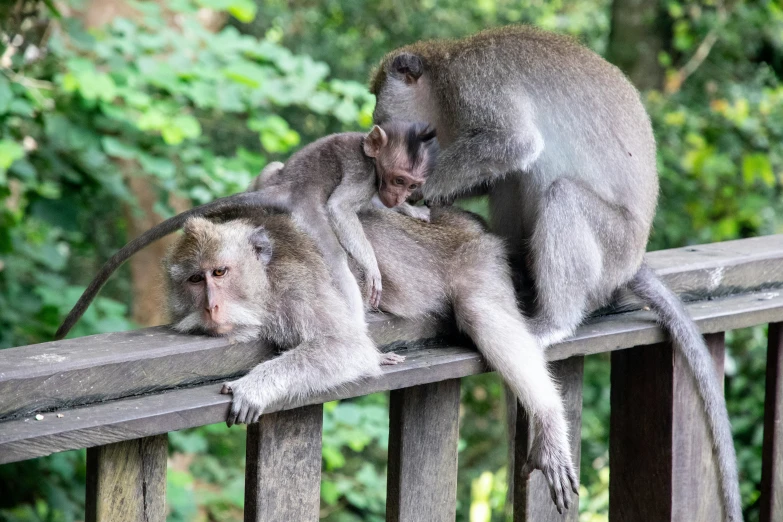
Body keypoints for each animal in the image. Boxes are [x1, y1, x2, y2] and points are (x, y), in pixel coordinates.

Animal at [52, 124, 438, 340]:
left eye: (411, 184)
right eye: (399, 179)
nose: (398, 196)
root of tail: (287, 187)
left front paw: (412, 210)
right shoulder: (364, 174)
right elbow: (342, 208)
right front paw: (373, 269)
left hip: (273, 180)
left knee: (271, 169)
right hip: (308, 211)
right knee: (334, 254)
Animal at [165, 206, 580, 508]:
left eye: (220, 272)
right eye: (195, 280)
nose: (211, 307)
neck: (265, 278)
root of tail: (466, 221)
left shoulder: (297, 284)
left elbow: (348, 346)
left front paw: (254, 387)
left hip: (477, 259)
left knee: (483, 312)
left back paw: (548, 419)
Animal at [374, 25, 740, 520]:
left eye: (379, 100)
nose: (372, 123)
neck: (443, 79)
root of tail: (632, 262)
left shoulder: (475, 86)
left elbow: (513, 144)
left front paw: (417, 194)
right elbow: (503, 166)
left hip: (610, 246)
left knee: (561, 193)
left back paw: (553, 321)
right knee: (513, 179)